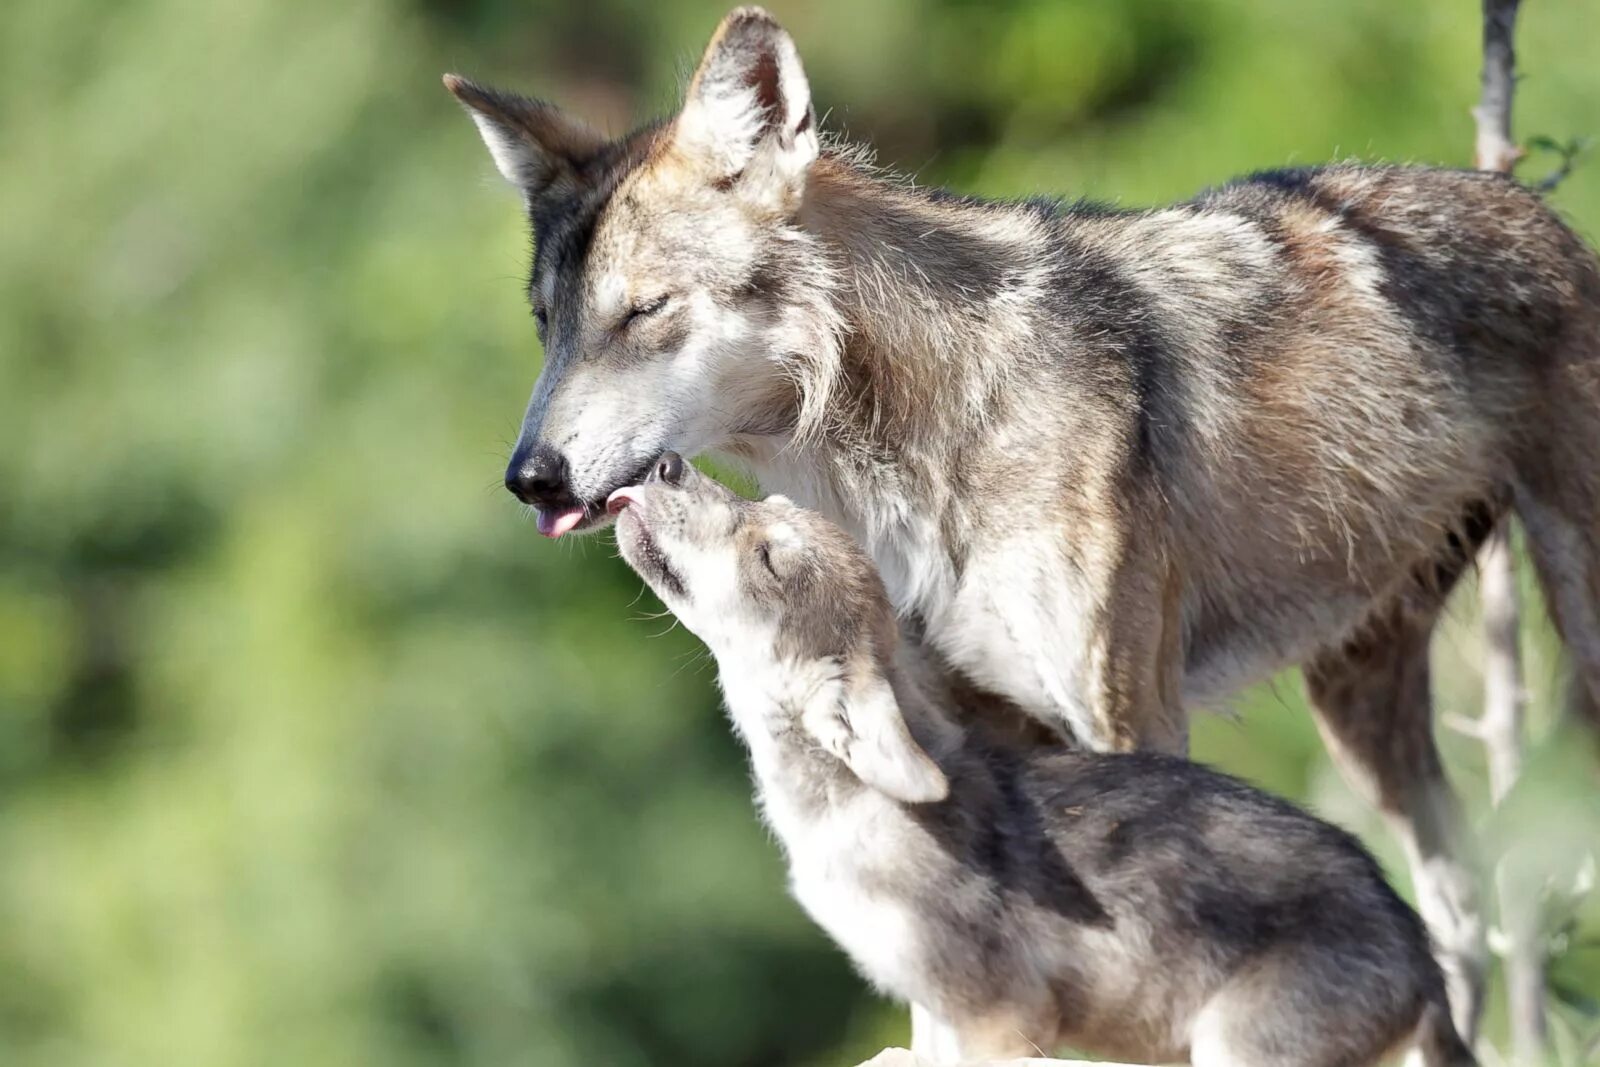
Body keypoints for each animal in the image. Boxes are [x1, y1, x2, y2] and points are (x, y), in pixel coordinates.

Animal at [444, 8, 1600, 1043]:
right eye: (548, 325)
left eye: (644, 311)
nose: (530, 478)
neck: (914, 447)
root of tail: (1526, 201)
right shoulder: (957, 740)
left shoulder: (1128, 721)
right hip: (1359, 711)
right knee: (1457, 916)